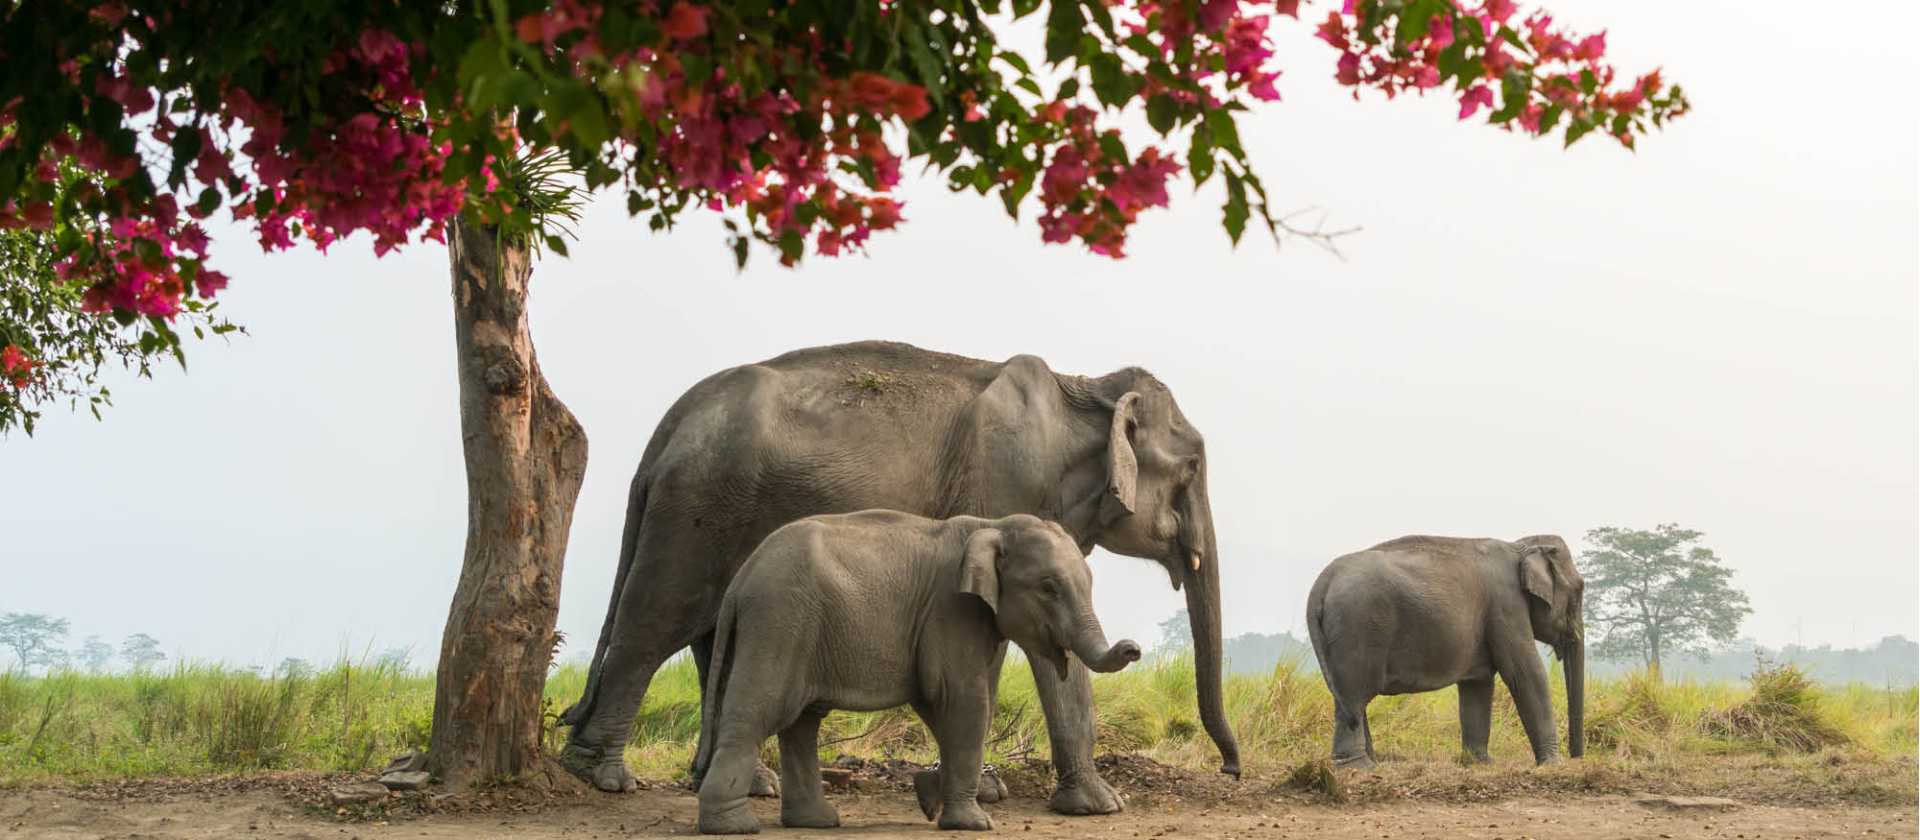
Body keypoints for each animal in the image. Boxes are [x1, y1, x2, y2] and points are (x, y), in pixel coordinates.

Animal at [692, 511, 1141, 834]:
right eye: (1048, 588)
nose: (1133, 648)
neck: (992, 525)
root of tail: (740, 581)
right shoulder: (952, 611)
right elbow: (963, 700)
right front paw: (974, 824)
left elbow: (950, 705)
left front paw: (929, 798)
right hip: (781, 621)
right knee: (761, 712)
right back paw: (733, 827)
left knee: (802, 723)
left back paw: (816, 822)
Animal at [1304, 535, 1585, 768]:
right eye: (1579, 589)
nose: (1577, 758)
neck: (1520, 545)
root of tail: (1321, 583)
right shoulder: (1506, 604)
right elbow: (1525, 673)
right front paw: (1552, 765)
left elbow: (1478, 684)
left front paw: (1479, 763)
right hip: (1357, 628)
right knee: (1354, 696)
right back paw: (1359, 767)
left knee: (1348, 698)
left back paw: (1370, 762)